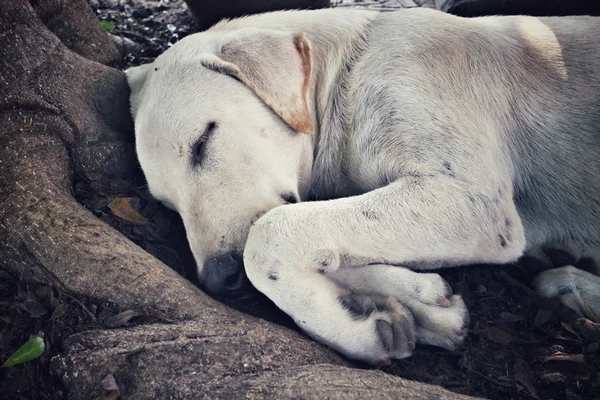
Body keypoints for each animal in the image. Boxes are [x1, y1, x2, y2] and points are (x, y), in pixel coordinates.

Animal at [126, 8, 600, 366]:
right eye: (167, 205)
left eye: (202, 141)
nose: (218, 280)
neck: (349, 77)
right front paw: (415, 301)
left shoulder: (473, 201)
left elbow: (268, 237)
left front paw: (347, 328)